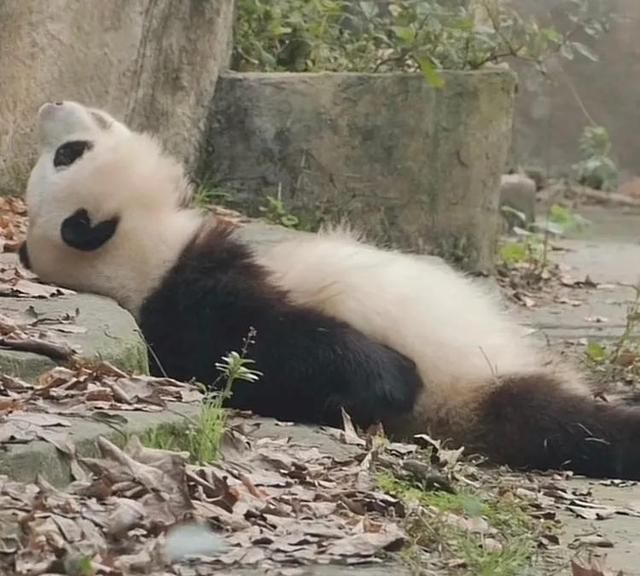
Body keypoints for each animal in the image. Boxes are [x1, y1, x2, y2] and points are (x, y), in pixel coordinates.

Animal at [17, 101, 640, 480]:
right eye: (67, 154)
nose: (49, 107)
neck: (145, 256)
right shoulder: (203, 301)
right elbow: (341, 367)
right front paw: (390, 375)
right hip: (482, 389)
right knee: (559, 420)